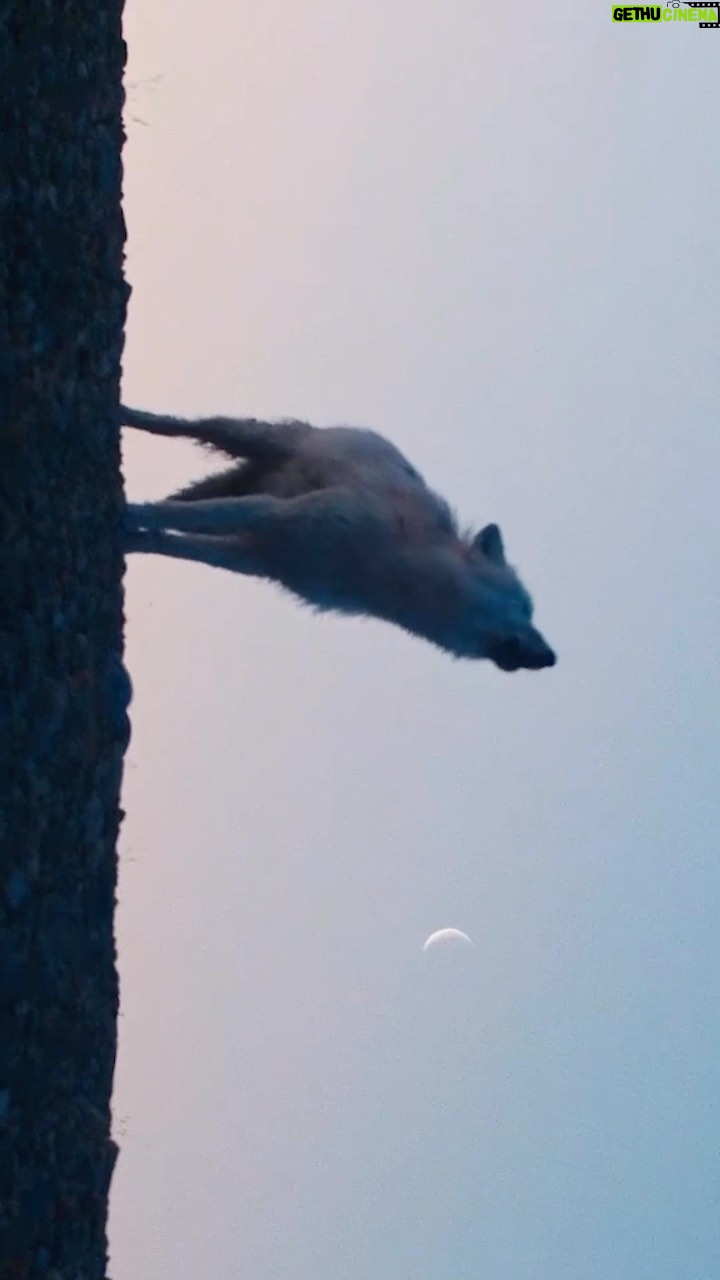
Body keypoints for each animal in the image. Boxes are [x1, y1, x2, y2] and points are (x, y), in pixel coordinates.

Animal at [122, 406, 556, 672]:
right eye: (524, 607)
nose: (551, 658)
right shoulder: (275, 514)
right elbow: (172, 517)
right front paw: (127, 513)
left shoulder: (254, 556)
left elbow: (171, 542)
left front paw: (130, 537)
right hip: (242, 436)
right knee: (178, 425)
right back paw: (127, 413)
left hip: (230, 486)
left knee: (181, 497)